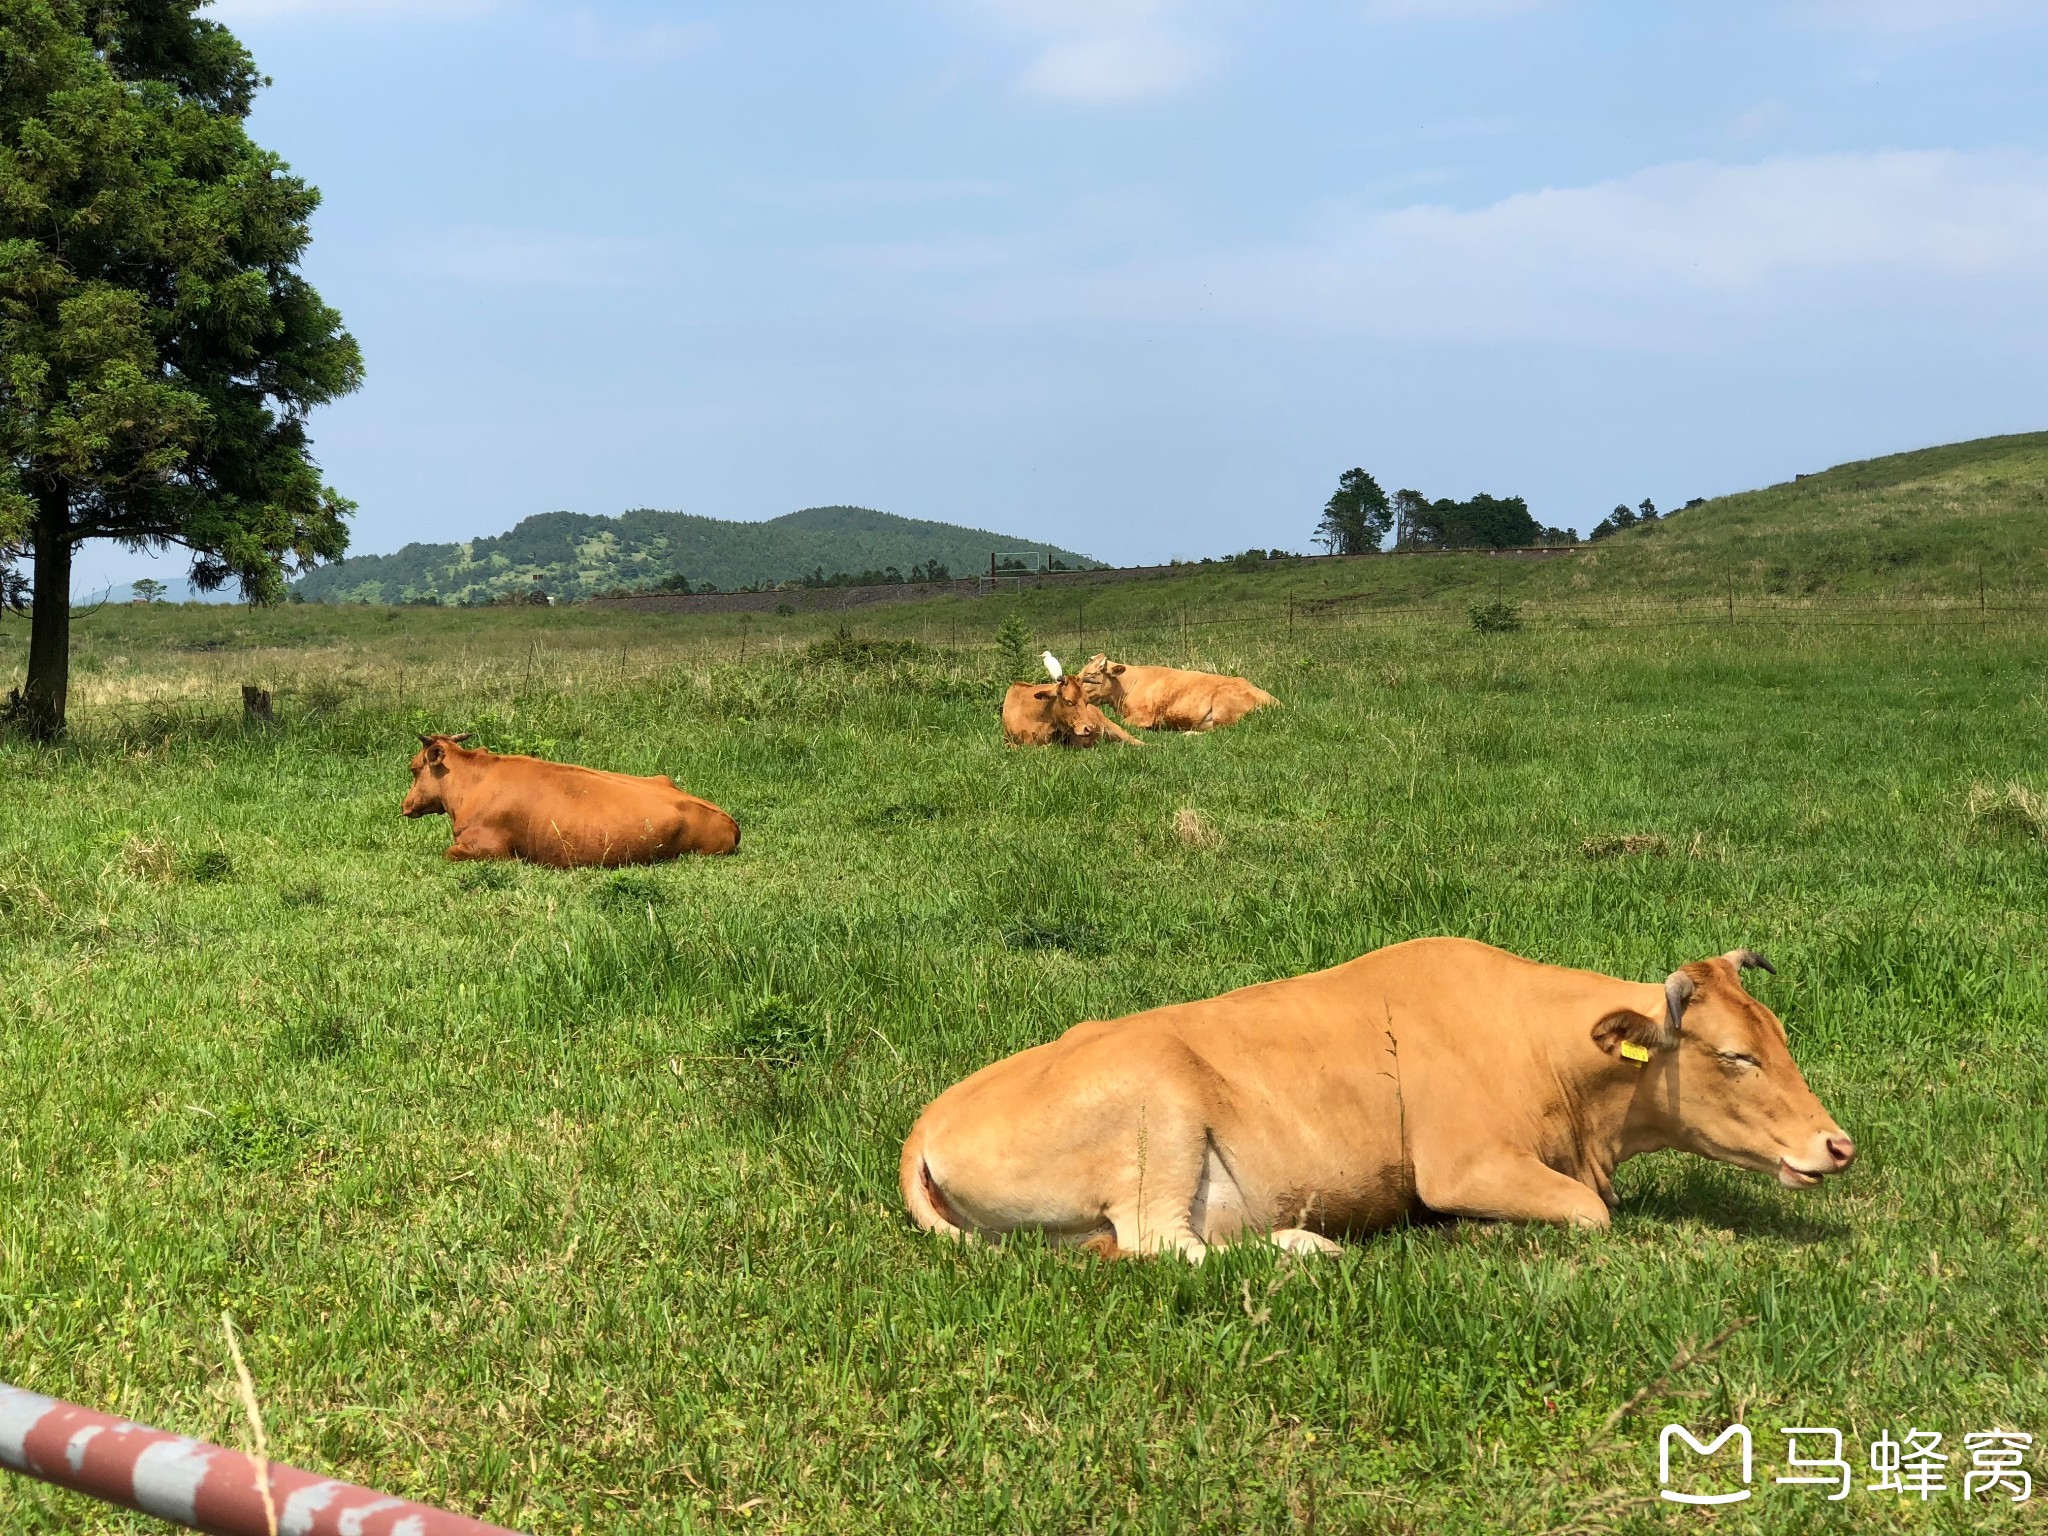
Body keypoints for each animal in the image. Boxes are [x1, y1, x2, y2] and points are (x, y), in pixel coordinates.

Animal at [397, 733, 737, 868]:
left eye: (414, 769)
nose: (404, 805)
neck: (472, 784)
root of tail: (730, 820)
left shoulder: (488, 850)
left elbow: (446, 853)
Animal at [897, 937, 1859, 1261]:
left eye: (1780, 1037)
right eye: (1735, 1057)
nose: (1837, 1145)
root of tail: (928, 1121)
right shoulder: (1464, 1167)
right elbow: (1589, 1214)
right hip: (1157, 1110)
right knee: (1159, 1244)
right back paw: (1306, 1248)